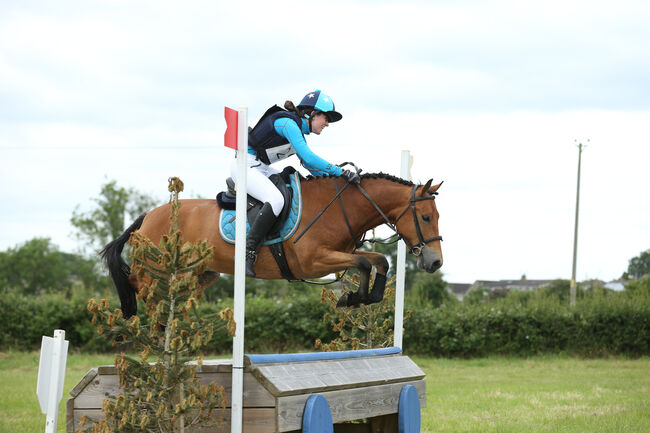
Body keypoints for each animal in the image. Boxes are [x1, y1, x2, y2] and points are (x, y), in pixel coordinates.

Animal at [101, 172, 442, 318]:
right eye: (426, 217)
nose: (435, 262)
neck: (338, 205)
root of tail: (148, 215)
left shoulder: (340, 251)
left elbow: (378, 261)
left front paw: (363, 297)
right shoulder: (312, 261)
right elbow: (362, 263)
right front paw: (354, 297)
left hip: (199, 274)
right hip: (158, 268)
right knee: (138, 281)